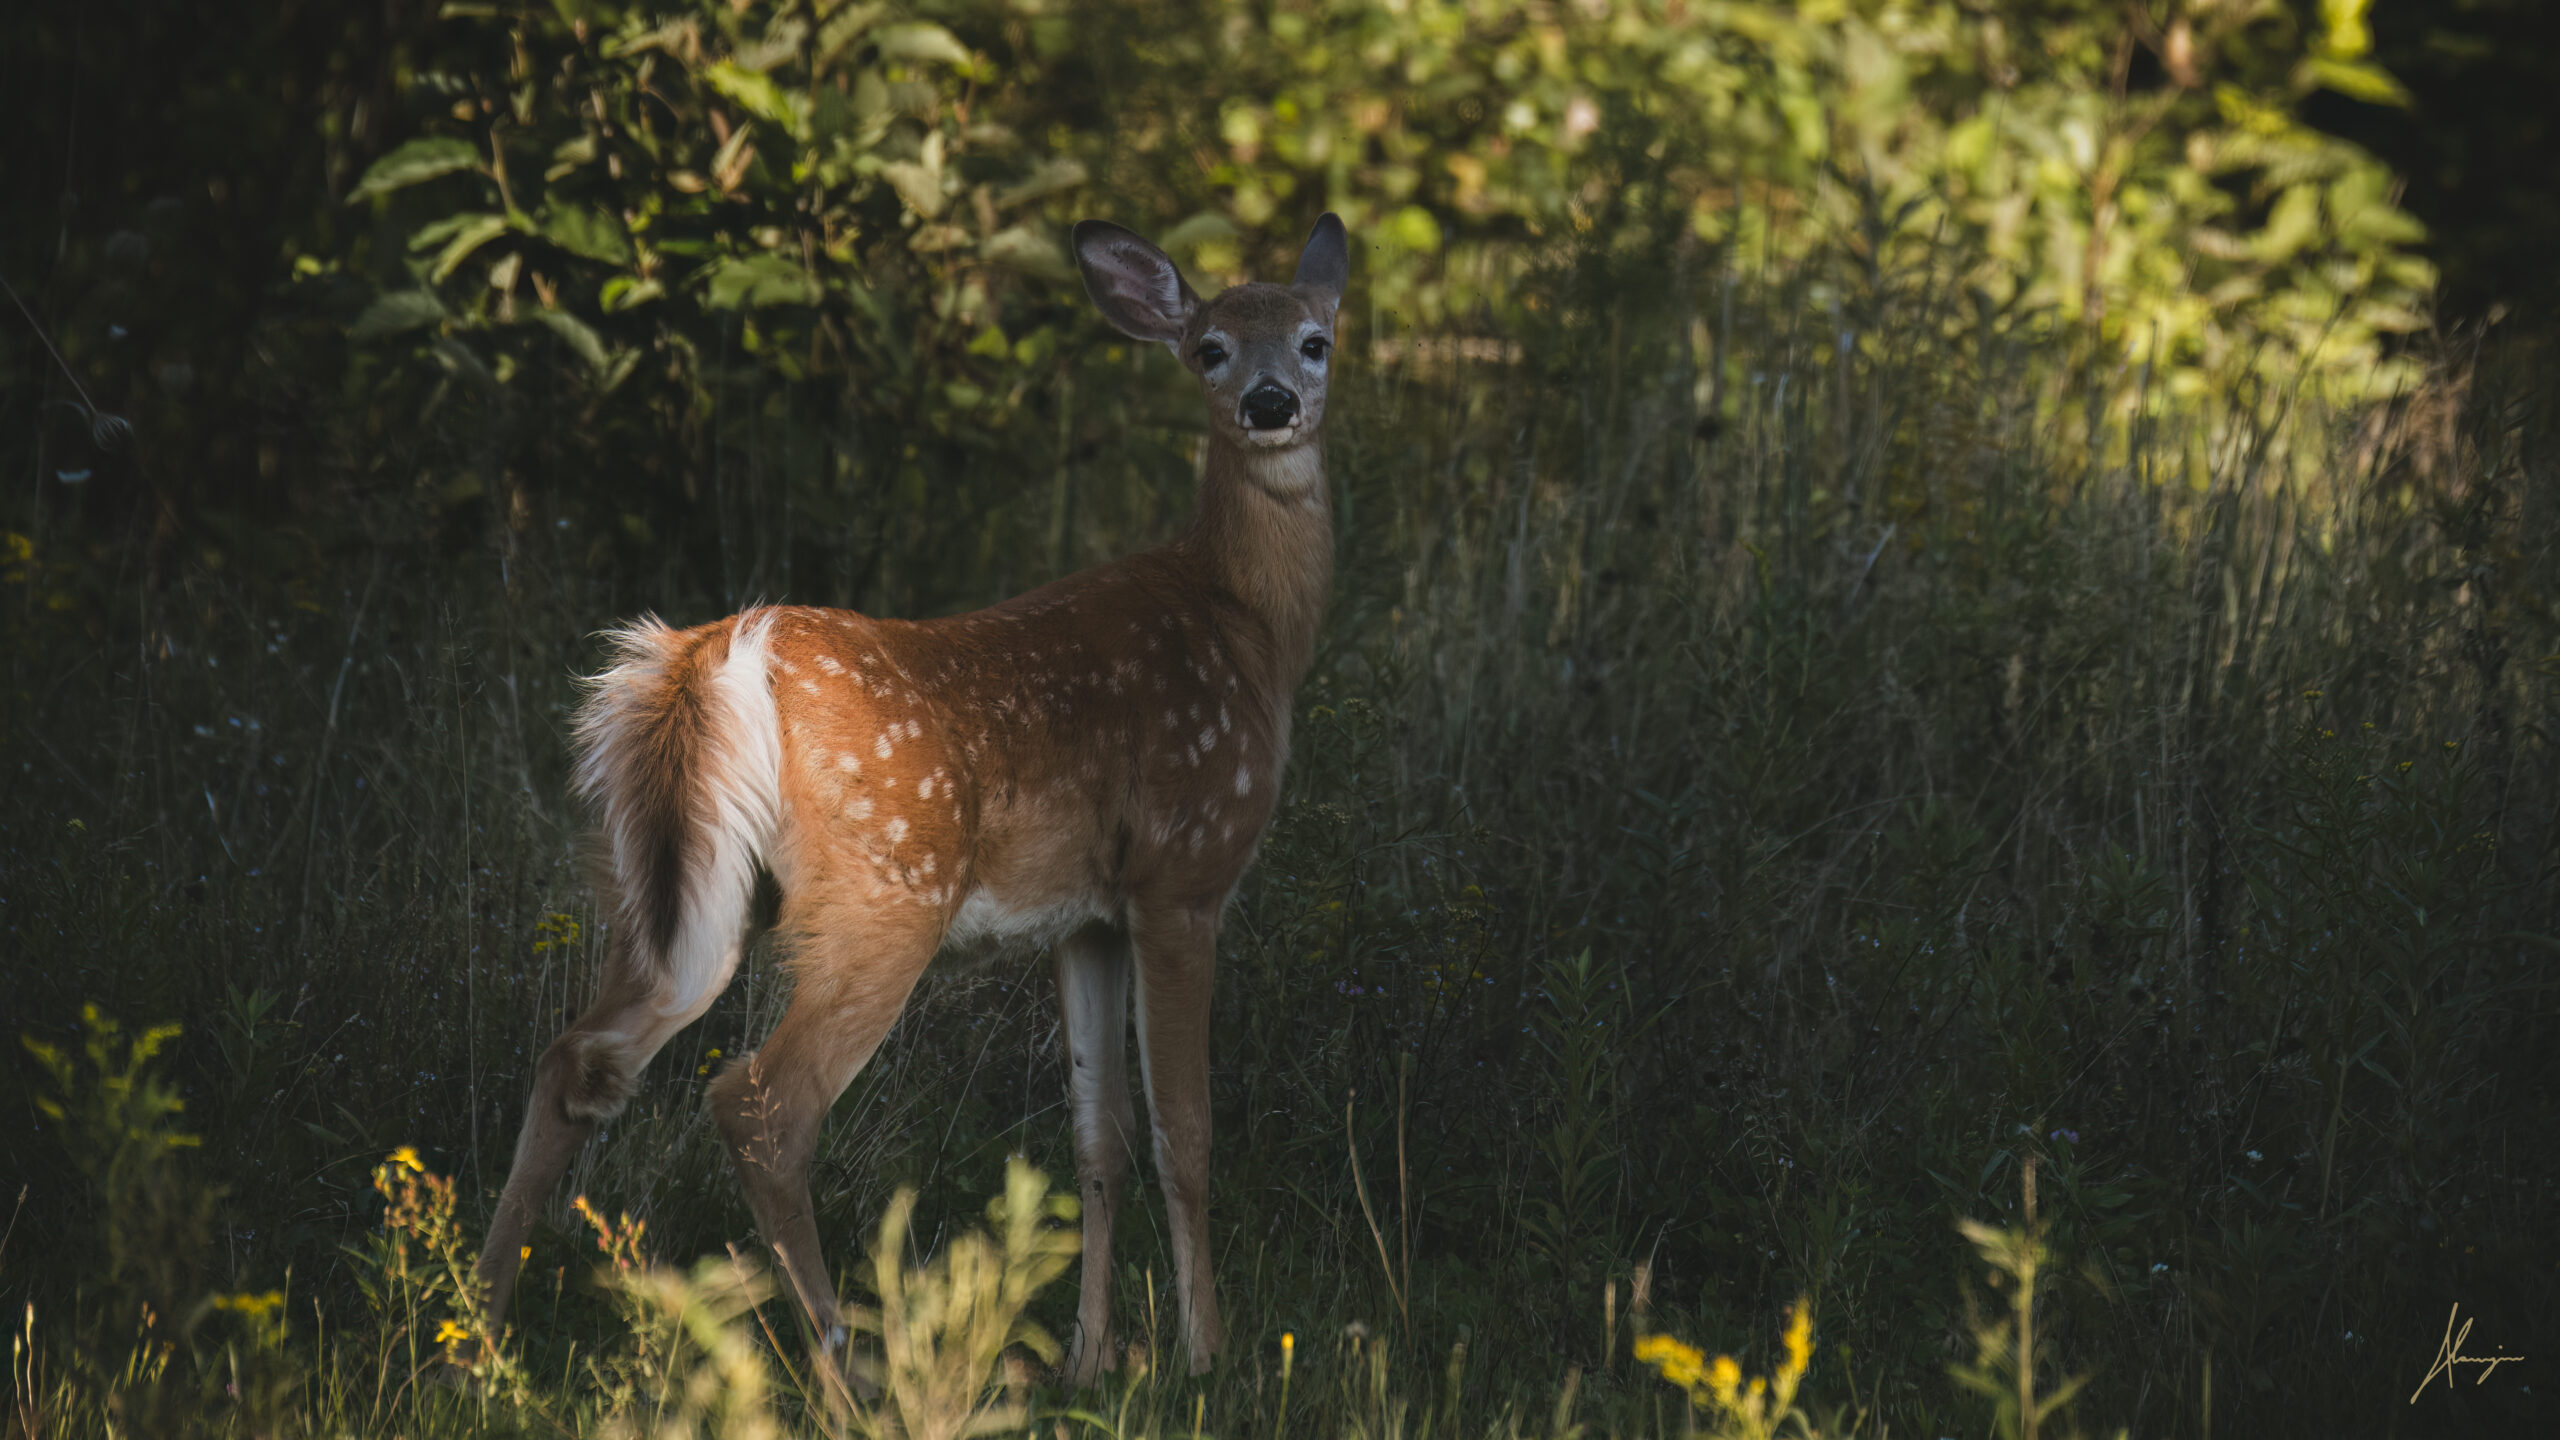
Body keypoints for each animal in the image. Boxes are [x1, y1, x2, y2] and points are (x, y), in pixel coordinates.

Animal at [481, 212, 1361, 1383]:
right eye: (1209, 347)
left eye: (1315, 339)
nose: (1271, 404)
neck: (1246, 624)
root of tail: (712, 660)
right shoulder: (1184, 874)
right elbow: (1188, 1133)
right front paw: (1207, 1358)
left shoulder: (1087, 916)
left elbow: (1099, 1137)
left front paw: (1088, 1360)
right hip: (884, 890)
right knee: (760, 1105)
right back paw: (846, 1370)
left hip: (672, 890)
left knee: (577, 1059)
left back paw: (475, 1339)